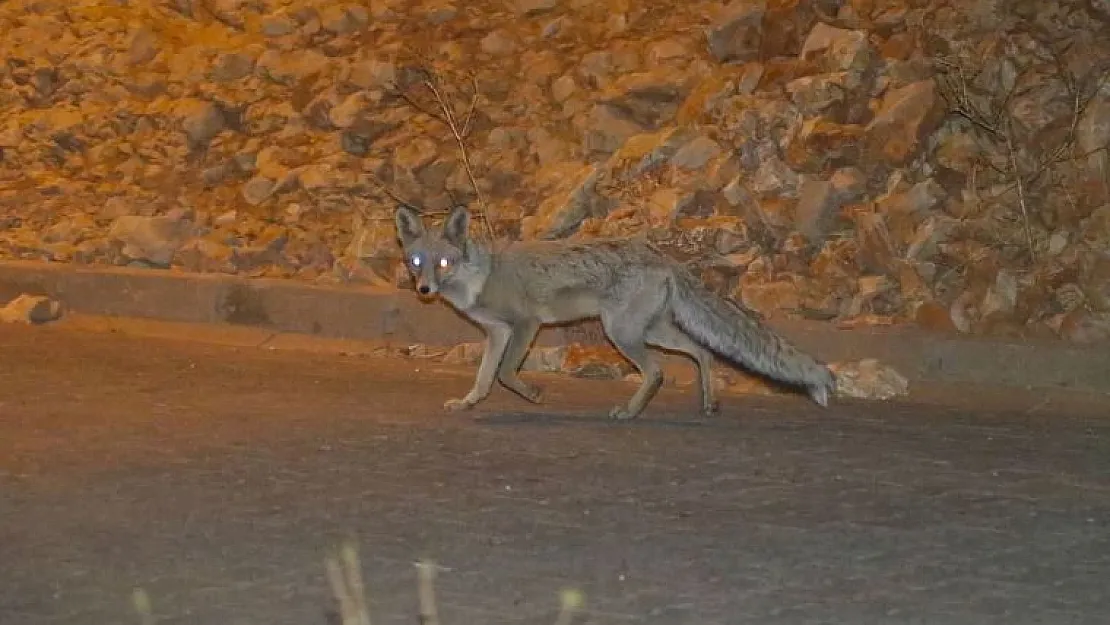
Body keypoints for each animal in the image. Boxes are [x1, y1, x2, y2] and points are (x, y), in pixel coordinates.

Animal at [395, 205, 834, 419]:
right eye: (416, 262)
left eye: (444, 263)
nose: (424, 290)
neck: (479, 277)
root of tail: (660, 255)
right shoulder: (497, 333)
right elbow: (485, 378)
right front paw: (468, 404)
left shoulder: (525, 324)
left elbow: (505, 374)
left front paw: (534, 394)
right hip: (650, 331)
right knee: (703, 352)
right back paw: (707, 403)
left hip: (621, 333)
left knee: (657, 372)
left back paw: (630, 412)